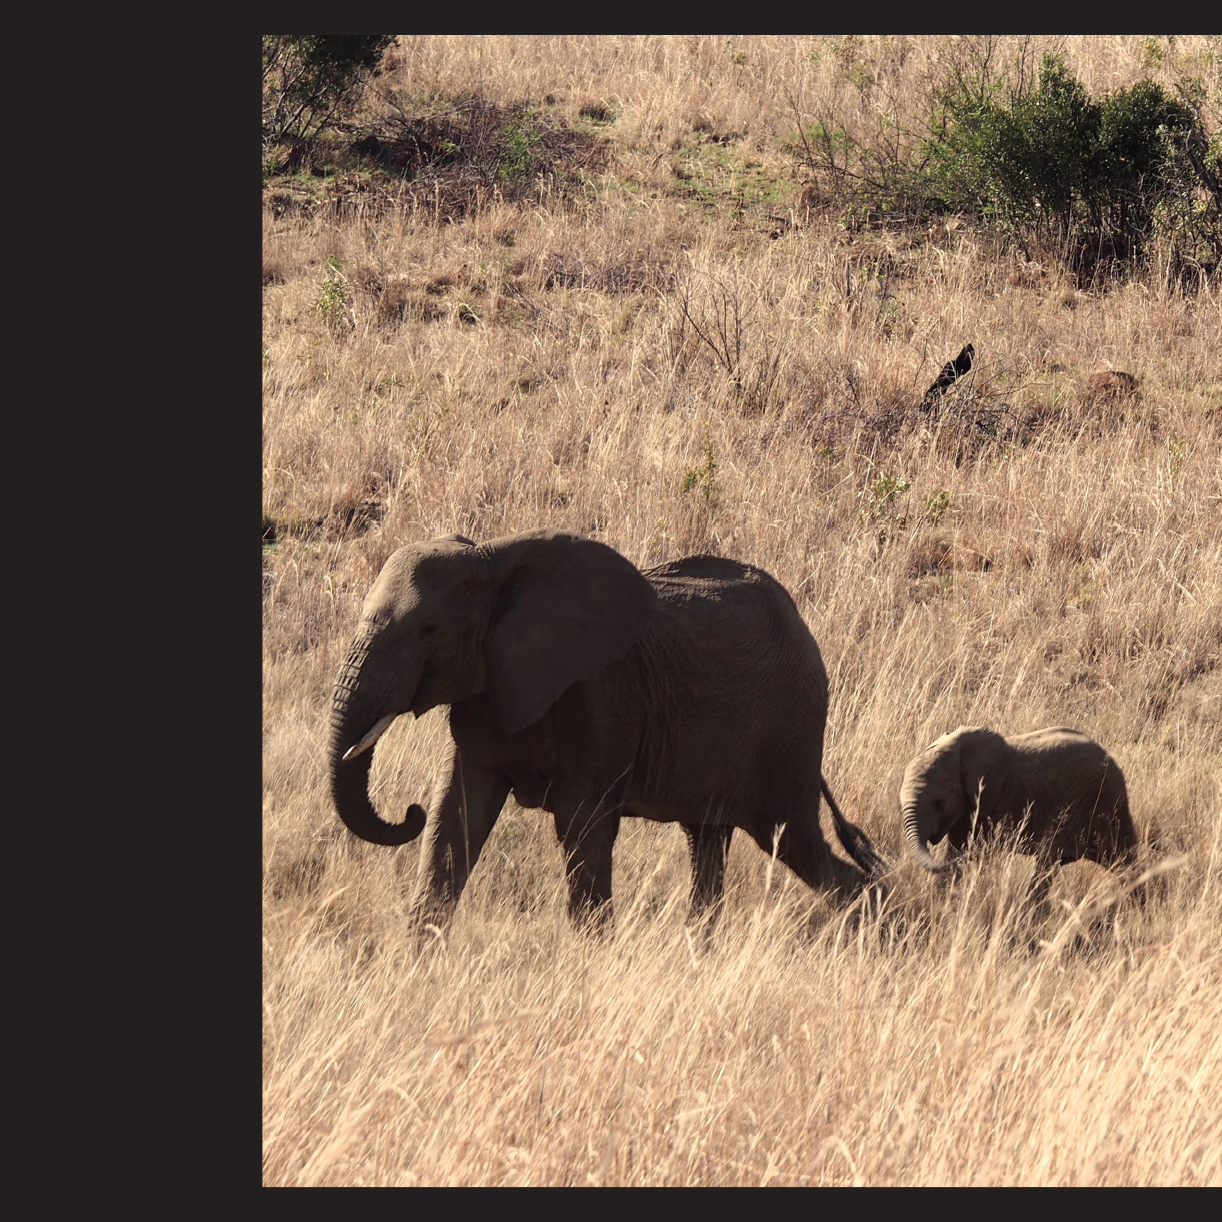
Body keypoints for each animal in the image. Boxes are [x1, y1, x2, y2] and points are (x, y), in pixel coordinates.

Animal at [329, 530, 884, 928]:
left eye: (429, 629)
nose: (408, 811)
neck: (494, 561)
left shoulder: (601, 698)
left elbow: (583, 828)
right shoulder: (483, 696)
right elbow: (455, 817)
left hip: (788, 727)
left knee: (795, 840)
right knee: (708, 843)